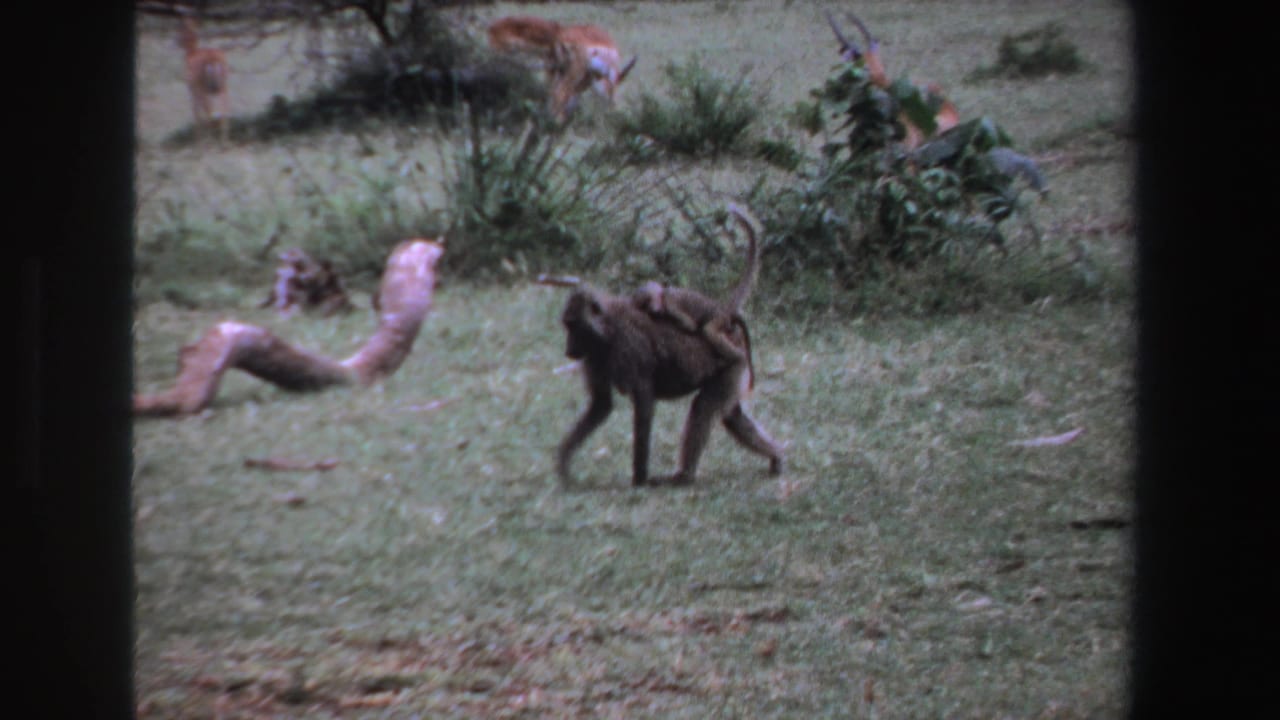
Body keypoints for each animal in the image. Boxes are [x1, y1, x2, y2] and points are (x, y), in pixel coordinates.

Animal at [556, 203, 783, 487]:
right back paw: (776, 456)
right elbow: (601, 405)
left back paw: (684, 476)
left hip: (732, 359)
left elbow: (644, 403)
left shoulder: (628, 350)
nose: (569, 350)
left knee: (702, 410)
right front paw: (563, 465)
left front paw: (640, 478)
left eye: (573, 326)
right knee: (732, 416)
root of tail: (724, 315)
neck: (607, 330)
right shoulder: (594, 357)